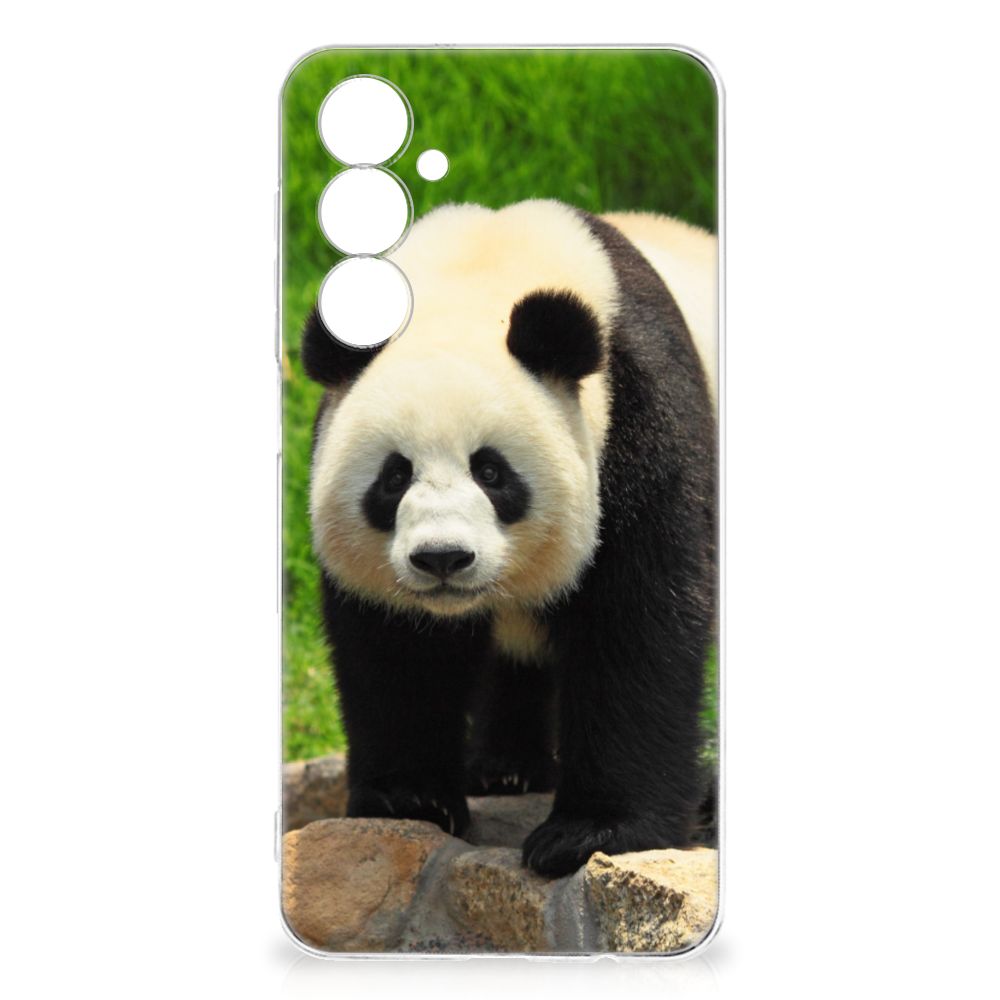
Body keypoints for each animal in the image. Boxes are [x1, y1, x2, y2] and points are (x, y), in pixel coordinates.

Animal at [301, 199, 717, 877]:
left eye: (492, 472)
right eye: (394, 477)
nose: (443, 558)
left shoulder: (640, 420)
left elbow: (638, 623)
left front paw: (591, 832)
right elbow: (397, 649)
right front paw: (409, 799)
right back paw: (504, 769)